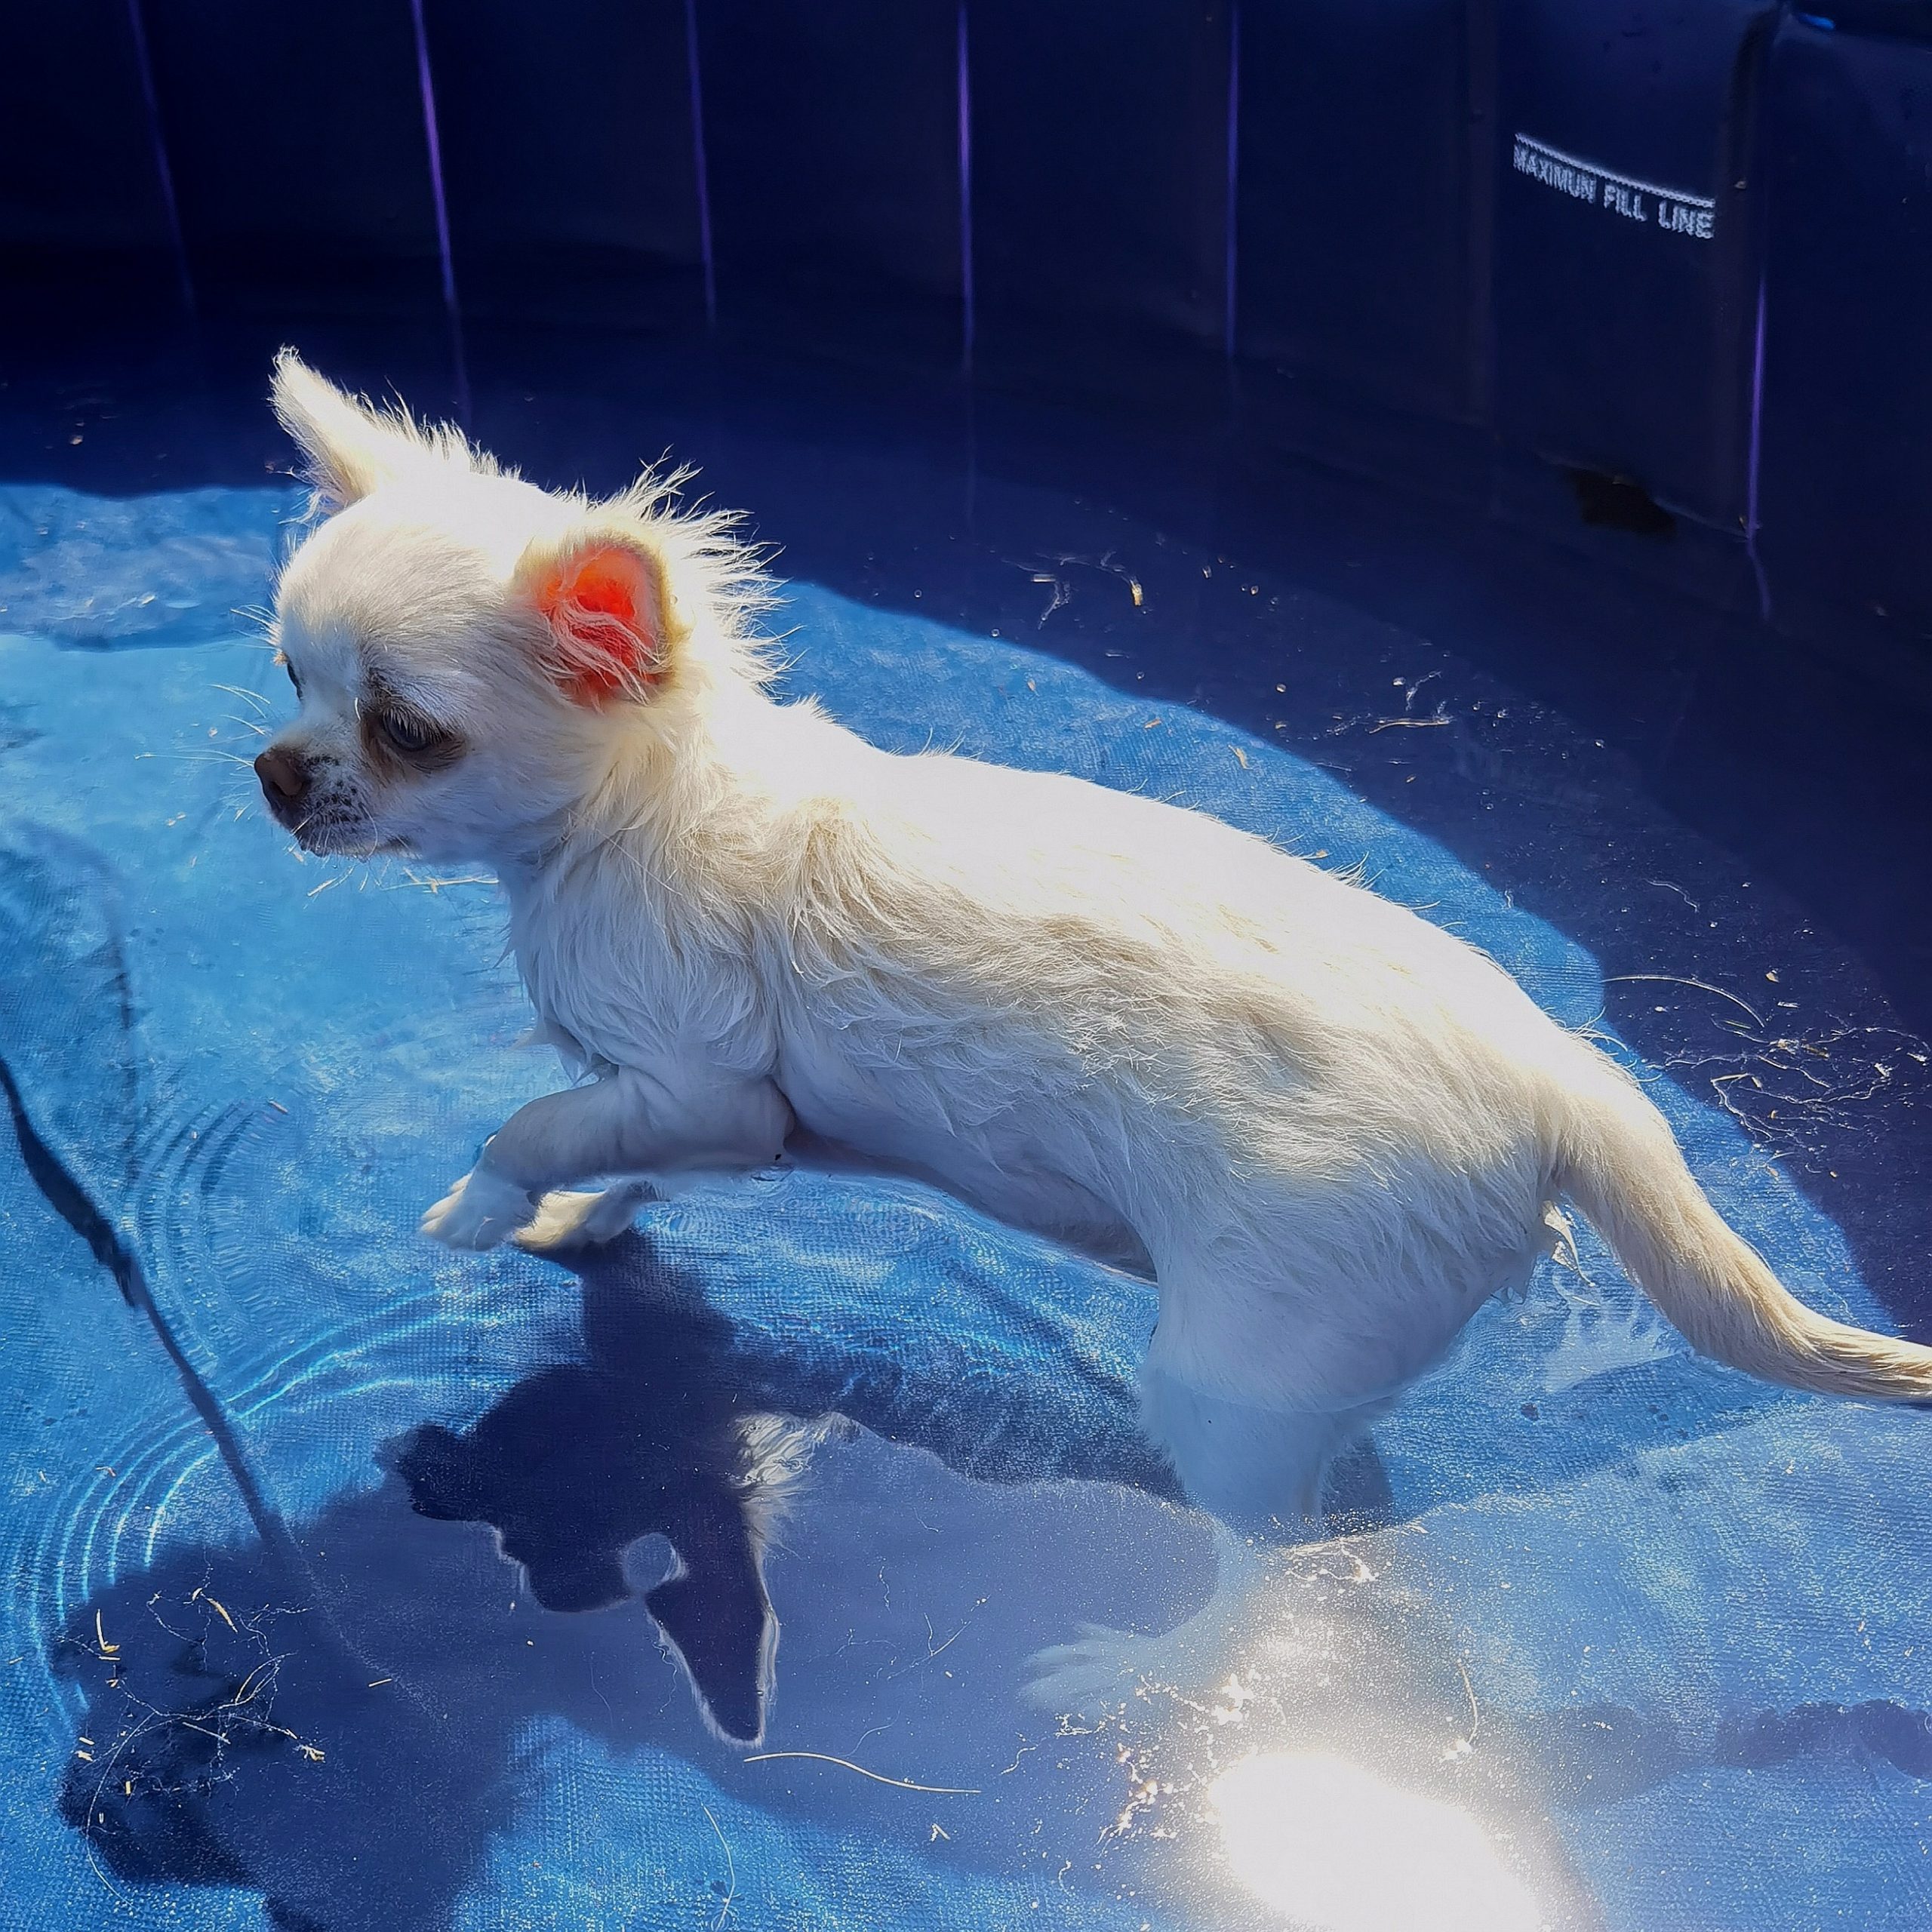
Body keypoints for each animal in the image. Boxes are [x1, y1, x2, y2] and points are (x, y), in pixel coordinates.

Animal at [260, 355, 1932, 1537]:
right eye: (287, 676)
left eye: (408, 732)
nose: (275, 774)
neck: (637, 807)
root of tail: (1560, 1079)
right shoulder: (701, 1115)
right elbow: (616, 1155)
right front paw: (576, 1224)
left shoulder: (709, 1084)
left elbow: (538, 1118)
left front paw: (481, 1204)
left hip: (1240, 1375)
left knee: (1283, 1559)